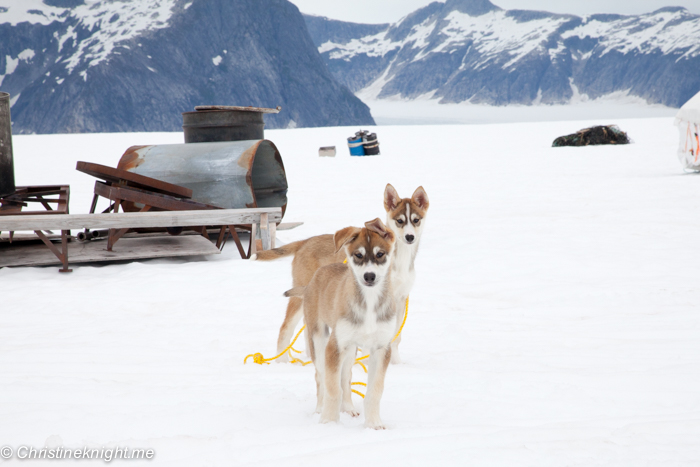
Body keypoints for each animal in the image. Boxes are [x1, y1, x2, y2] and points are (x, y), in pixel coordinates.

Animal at [252, 186, 426, 366]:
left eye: (416, 220)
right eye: (399, 221)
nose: (410, 237)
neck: (400, 259)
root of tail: (305, 242)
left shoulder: (400, 299)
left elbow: (395, 337)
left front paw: (396, 362)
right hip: (300, 295)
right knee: (286, 327)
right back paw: (282, 361)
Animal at [284, 220, 396, 432]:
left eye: (380, 254)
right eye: (358, 255)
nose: (369, 276)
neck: (369, 303)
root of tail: (311, 282)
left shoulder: (381, 348)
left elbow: (375, 391)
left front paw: (374, 424)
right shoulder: (334, 346)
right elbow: (332, 388)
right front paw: (328, 422)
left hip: (350, 350)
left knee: (346, 378)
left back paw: (348, 408)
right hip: (319, 340)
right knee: (321, 377)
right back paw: (320, 409)